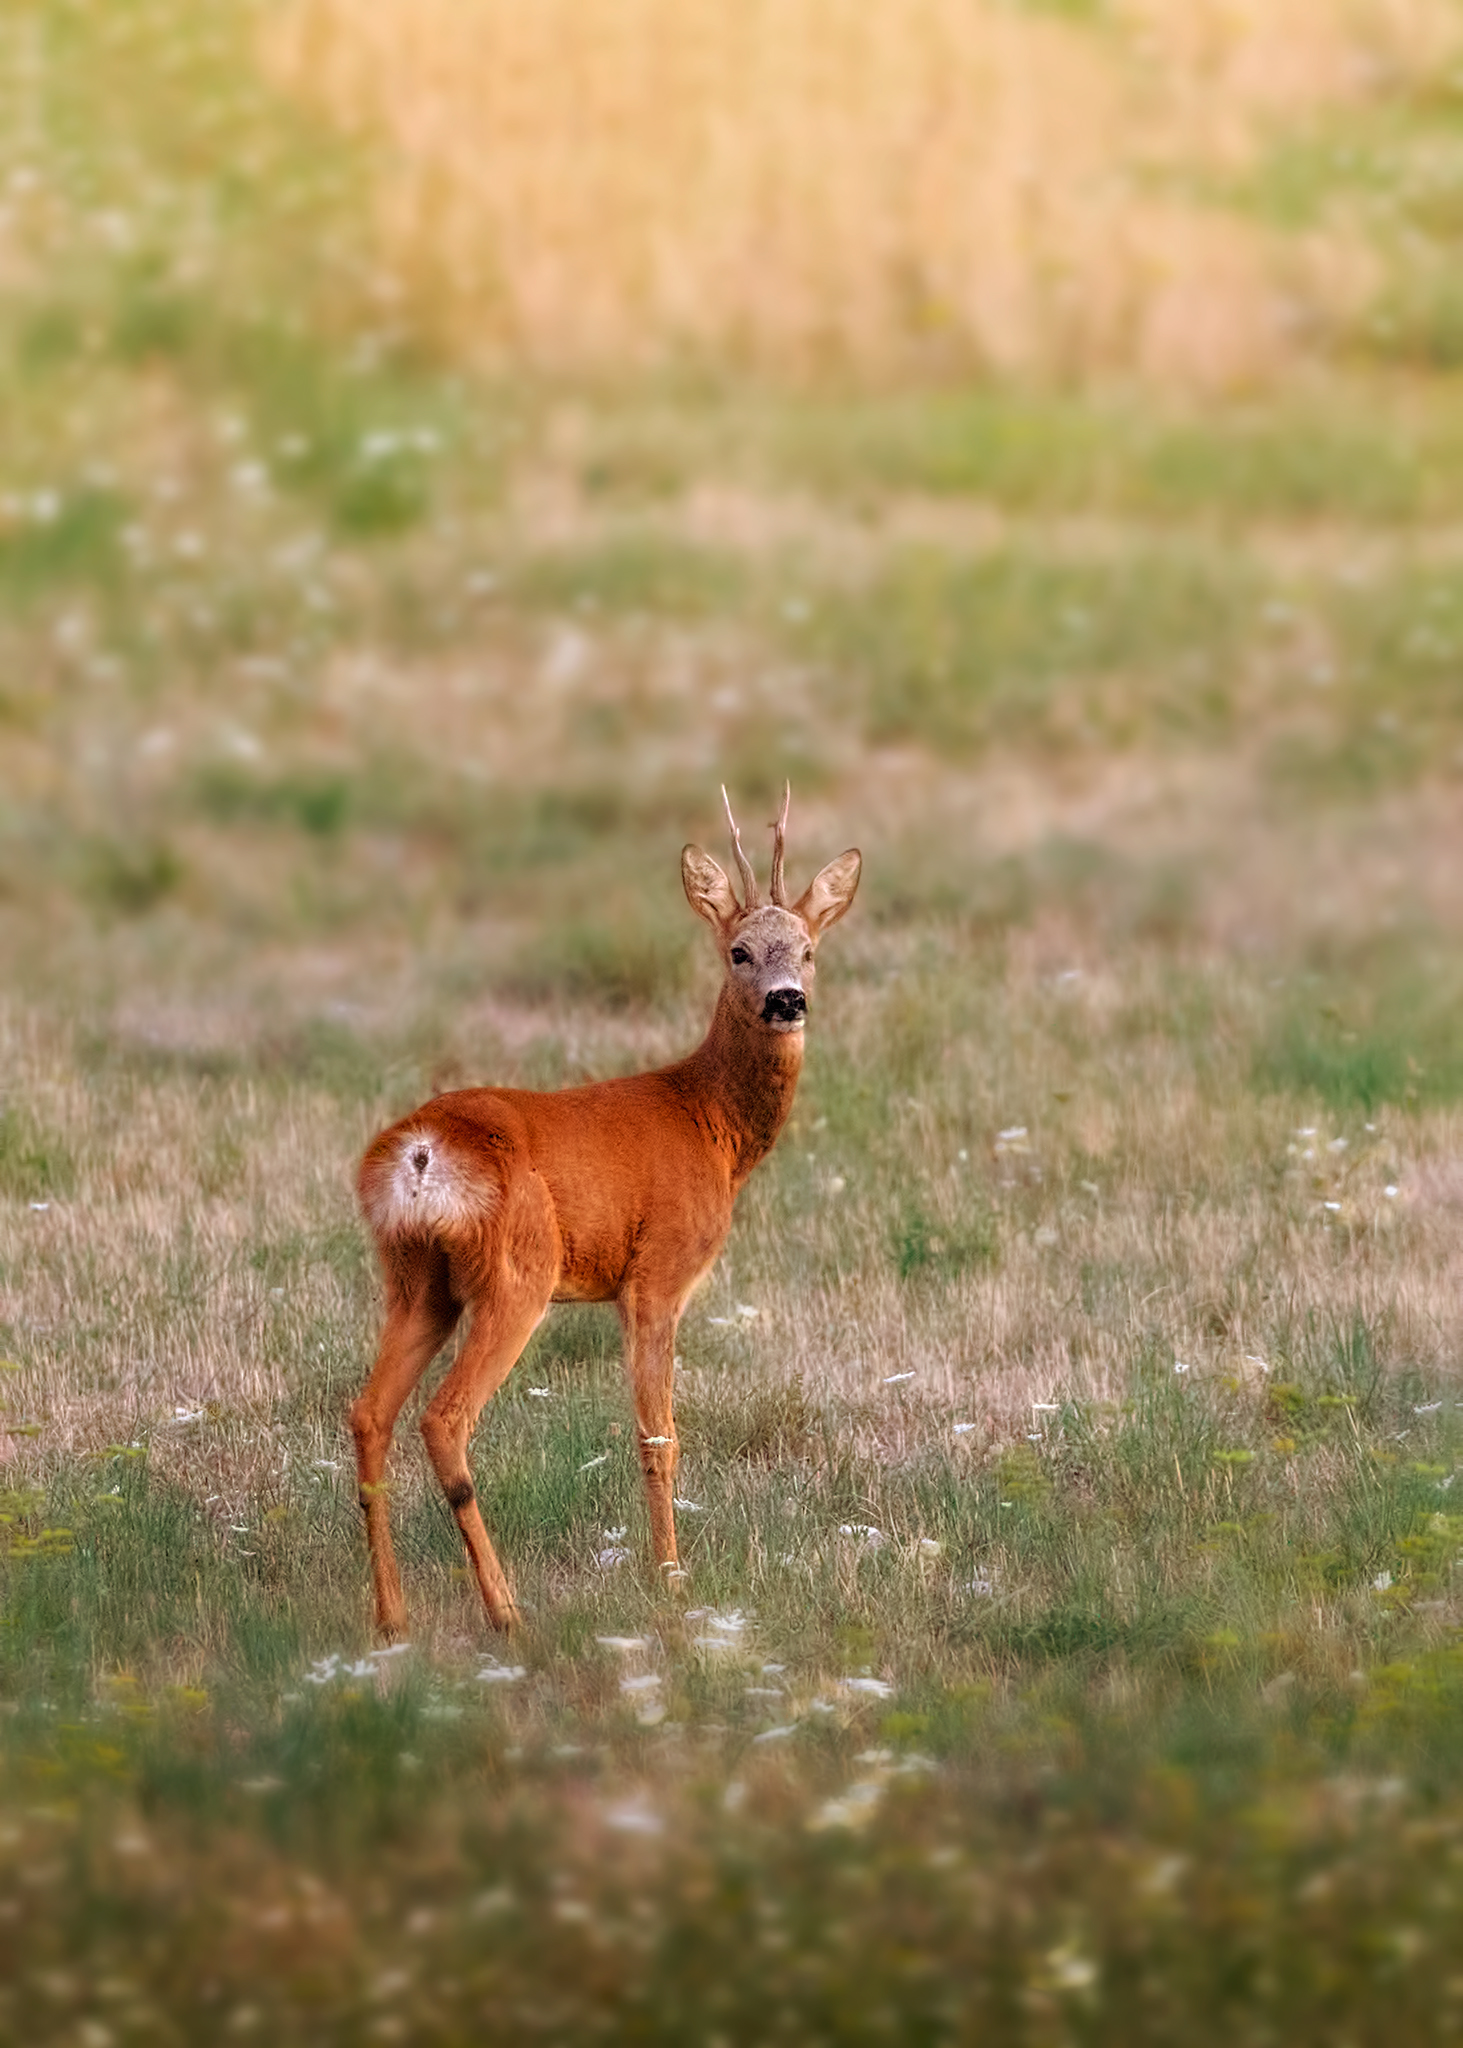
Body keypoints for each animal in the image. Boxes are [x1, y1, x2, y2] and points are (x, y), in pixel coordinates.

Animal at [350, 785, 861, 1637]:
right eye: (738, 952)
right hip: (518, 1272)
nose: (787, 1001)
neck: (709, 1123)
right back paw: (505, 1611)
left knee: (368, 1415)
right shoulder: (655, 1277)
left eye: (808, 950)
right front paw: (671, 1579)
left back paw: (393, 1620)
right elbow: (659, 1436)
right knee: (444, 1419)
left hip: (416, 1280)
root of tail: (420, 1151)